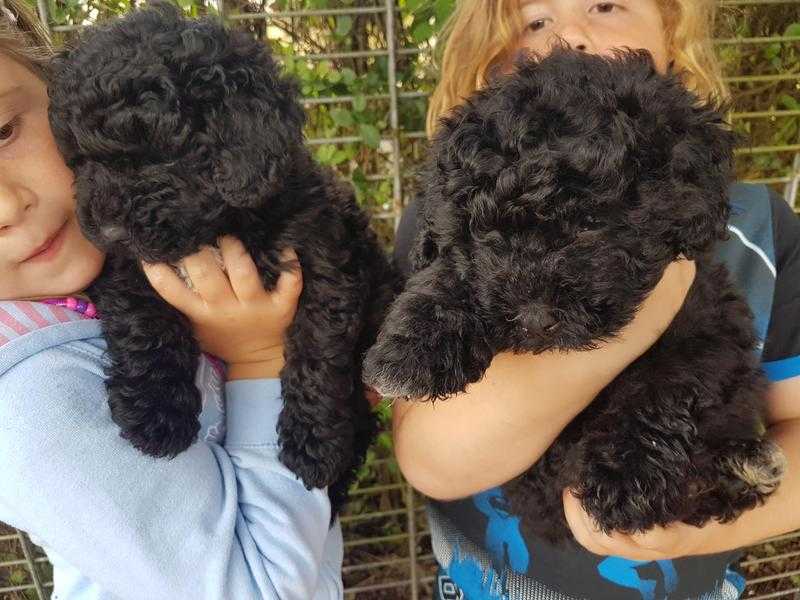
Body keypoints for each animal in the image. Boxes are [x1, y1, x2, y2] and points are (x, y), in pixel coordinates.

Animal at [45, 2, 396, 512]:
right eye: (79, 158)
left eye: (161, 153)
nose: (107, 231)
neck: (215, 228)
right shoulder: (129, 269)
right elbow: (142, 325)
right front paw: (155, 415)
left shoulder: (325, 260)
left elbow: (316, 353)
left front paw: (314, 443)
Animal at [366, 49, 784, 540]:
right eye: (481, 230)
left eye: (590, 224)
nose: (533, 318)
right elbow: (451, 274)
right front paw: (411, 348)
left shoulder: (709, 328)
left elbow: (664, 384)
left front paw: (625, 477)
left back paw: (743, 466)